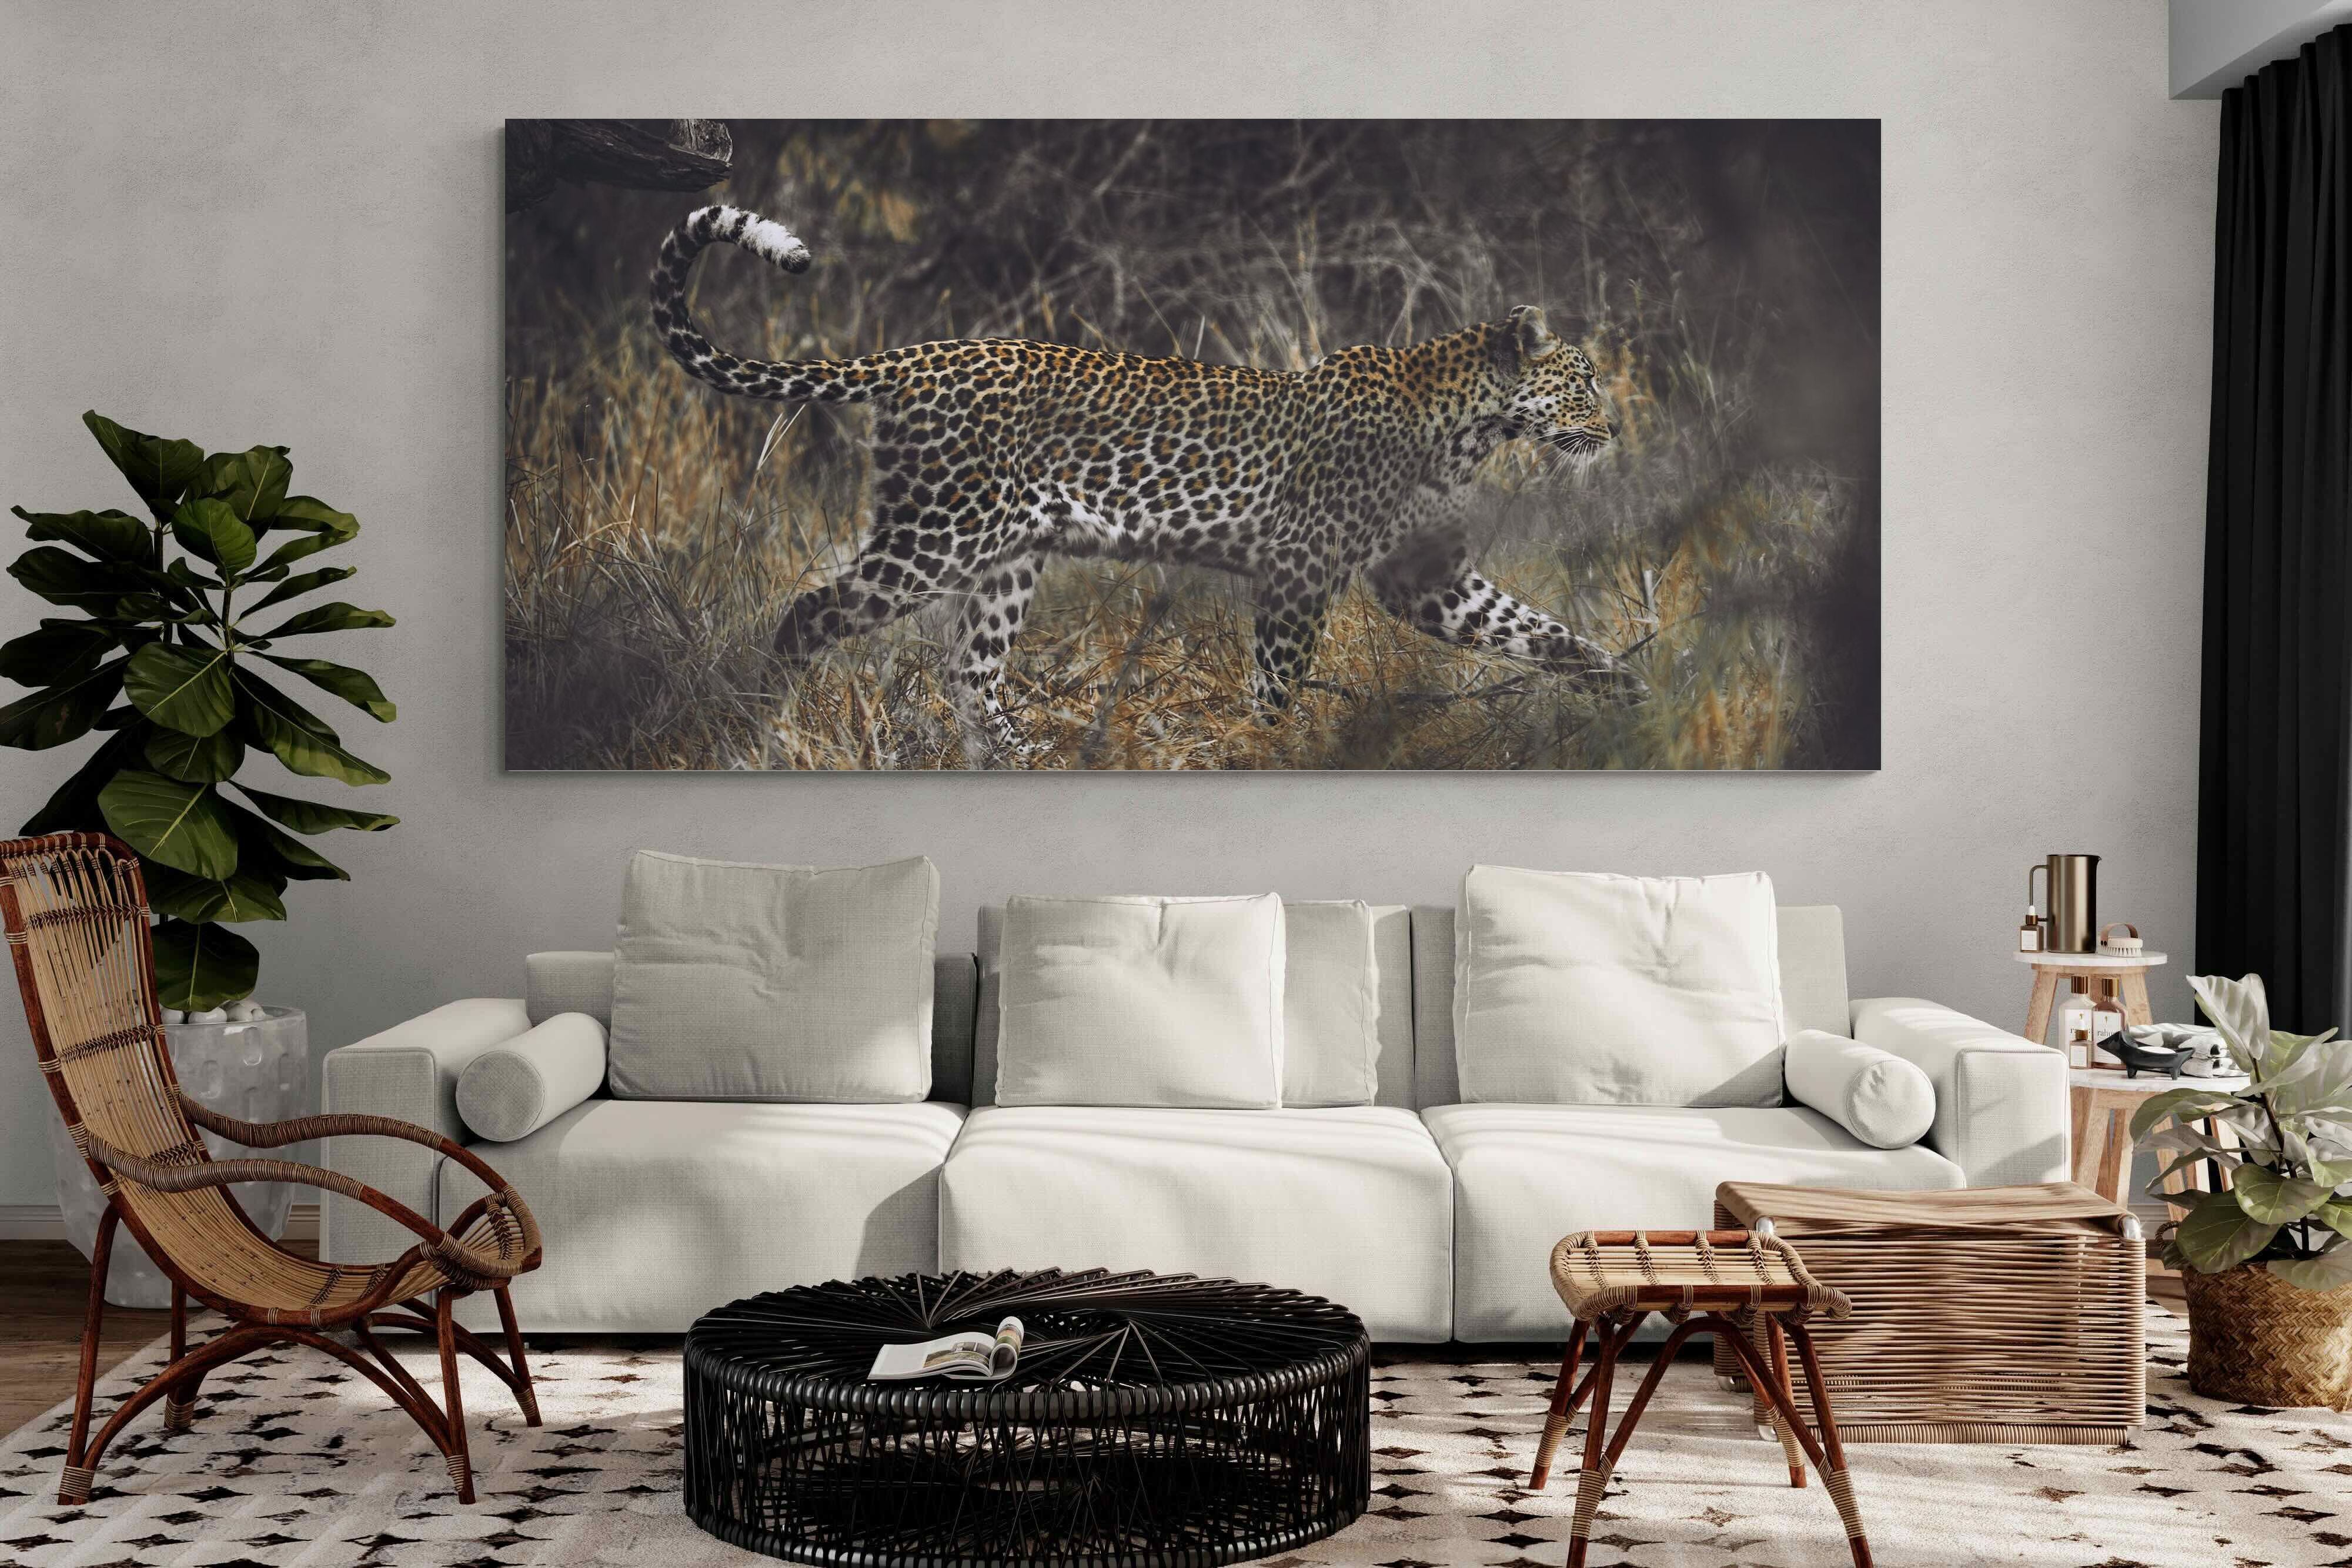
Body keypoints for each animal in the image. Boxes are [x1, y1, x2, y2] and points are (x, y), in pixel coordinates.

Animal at [650, 203, 1629, 757]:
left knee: (971, 670)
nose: (1615, 428)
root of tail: (917, 354)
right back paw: (770, 727)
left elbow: (1537, 630)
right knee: (811, 612)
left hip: (1008, 555)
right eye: (1583, 380)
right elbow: (1277, 680)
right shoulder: (1301, 567)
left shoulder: (1423, 578)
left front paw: (1628, 692)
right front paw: (1263, 752)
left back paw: (1022, 760)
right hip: (938, 534)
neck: (1469, 427)